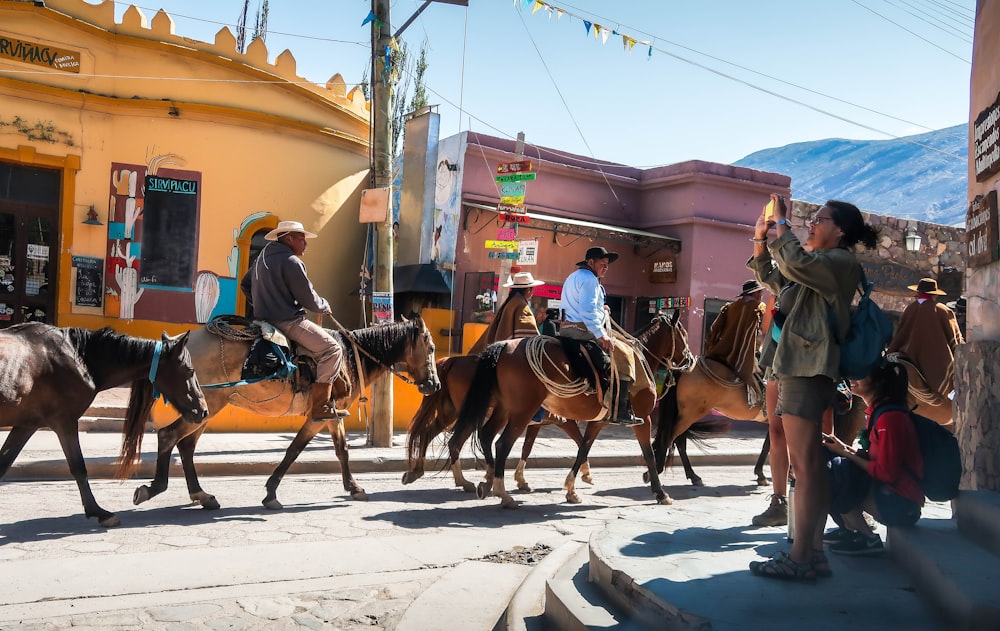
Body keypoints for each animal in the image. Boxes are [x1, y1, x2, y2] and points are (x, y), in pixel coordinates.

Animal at [128, 318, 438, 512]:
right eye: (432, 348)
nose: (434, 385)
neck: (352, 357)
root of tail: (177, 344)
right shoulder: (320, 416)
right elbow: (295, 450)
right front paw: (271, 492)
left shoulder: (330, 415)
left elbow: (340, 450)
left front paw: (352, 487)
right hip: (207, 405)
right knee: (169, 435)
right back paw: (155, 488)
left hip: (205, 408)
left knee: (186, 446)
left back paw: (202, 495)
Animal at [448, 312, 696, 508]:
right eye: (683, 333)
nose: (690, 359)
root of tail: (503, 346)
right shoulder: (643, 418)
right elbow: (649, 455)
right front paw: (660, 492)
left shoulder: (598, 421)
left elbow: (582, 449)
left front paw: (571, 489)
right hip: (521, 412)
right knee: (500, 443)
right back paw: (502, 493)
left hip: (503, 409)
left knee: (485, 435)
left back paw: (487, 481)